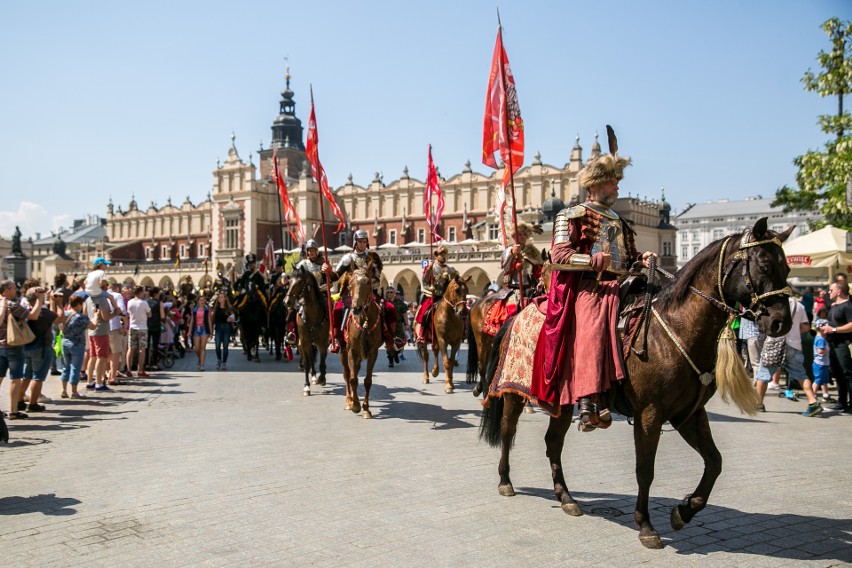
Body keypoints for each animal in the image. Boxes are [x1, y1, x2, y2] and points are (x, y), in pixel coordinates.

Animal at [282, 266, 330, 394]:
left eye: (300, 282)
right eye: (289, 281)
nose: (286, 302)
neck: (313, 316)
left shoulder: (322, 343)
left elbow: (322, 362)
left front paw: (322, 378)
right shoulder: (305, 342)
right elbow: (307, 364)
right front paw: (306, 386)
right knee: (310, 359)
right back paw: (312, 376)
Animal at [480, 219, 792, 552]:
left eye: (786, 266)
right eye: (764, 264)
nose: (781, 322)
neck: (674, 328)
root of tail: (517, 315)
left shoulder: (688, 414)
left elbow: (714, 462)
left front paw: (684, 511)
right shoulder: (649, 414)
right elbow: (645, 470)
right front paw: (646, 526)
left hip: (560, 404)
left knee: (553, 443)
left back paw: (566, 497)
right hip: (514, 394)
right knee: (507, 431)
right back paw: (506, 482)